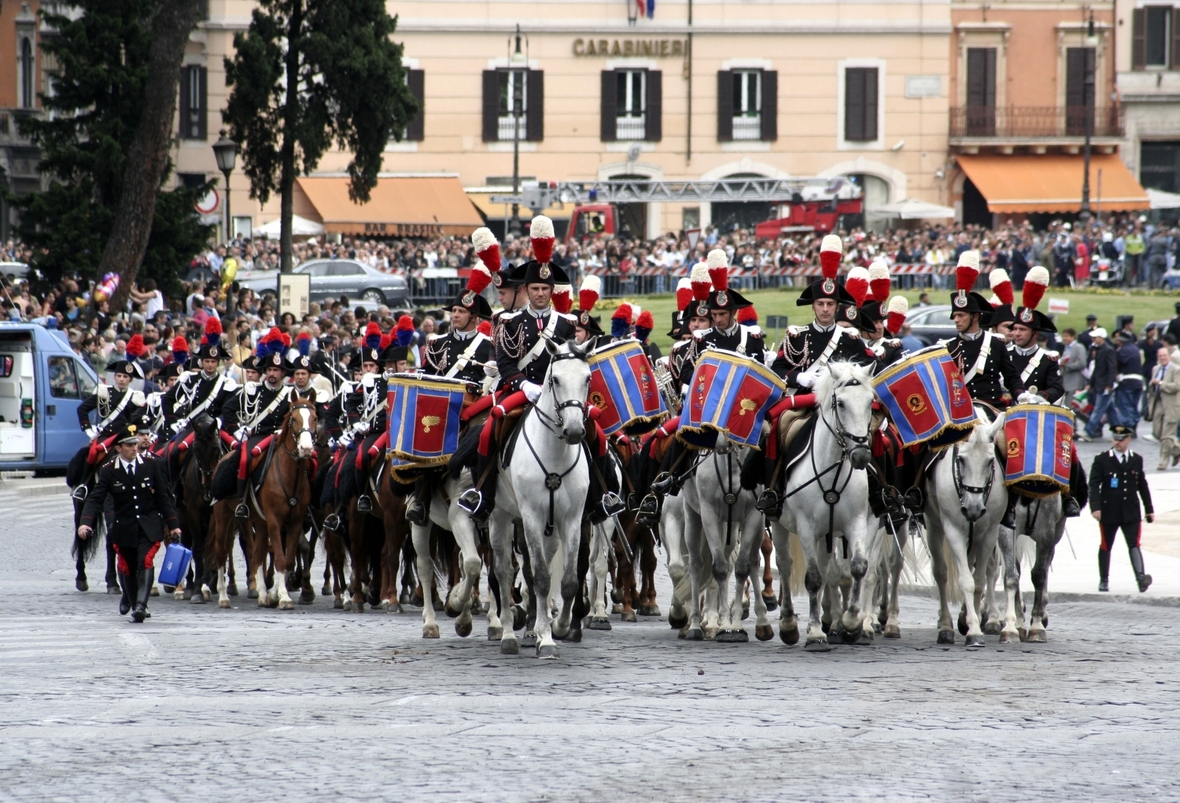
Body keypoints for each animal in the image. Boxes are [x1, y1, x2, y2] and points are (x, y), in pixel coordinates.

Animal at [483, 334, 590, 655]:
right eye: (555, 379)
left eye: (588, 378)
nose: (574, 431)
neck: (554, 453)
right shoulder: (530, 516)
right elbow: (540, 578)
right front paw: (545, 636)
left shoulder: (572, 519)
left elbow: (567, 580)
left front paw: (559, 628)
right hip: (500, 518)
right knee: (504, 572)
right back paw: (507, 634)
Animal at [684, 436, 774, 641]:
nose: (721, 443)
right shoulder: (708, 514)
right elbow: (719, 569)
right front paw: (725, 626)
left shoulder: (752, 515)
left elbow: (742, 568)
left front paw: (736, 626)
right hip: (693, 515)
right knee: (696, 565)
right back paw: (695, 625)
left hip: (739, 526)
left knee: (751, 561)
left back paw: (761, 621)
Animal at [774, 360, 877, 646]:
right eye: (840, 403)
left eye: (870, 401)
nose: (861, 455)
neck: (832, 468)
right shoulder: (806, 528)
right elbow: (812, 578)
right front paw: (815, 632)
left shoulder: (857, 521)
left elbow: (858, 567)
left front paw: (851, 622)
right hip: (778, 523)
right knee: (785, 566)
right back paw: (790, 624)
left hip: (827, 533)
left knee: (826, 568)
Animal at [920, 412, 1005, 646]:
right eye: (961, 459)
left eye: (990, 461)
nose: (973, 508)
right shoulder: (953, 531)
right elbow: (965, 581)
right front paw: (974, 629)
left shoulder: (988, 533)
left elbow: (978, 581)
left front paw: (970, 621)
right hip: (934, 527)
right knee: (941, 573)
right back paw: (946, 626)